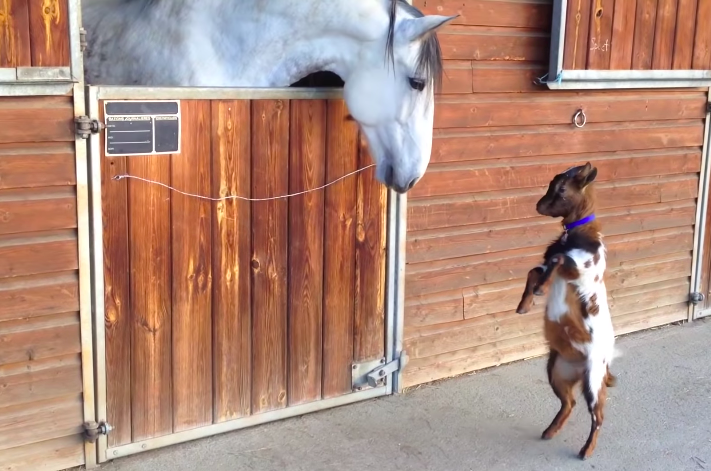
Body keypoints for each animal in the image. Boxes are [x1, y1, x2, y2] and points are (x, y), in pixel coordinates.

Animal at [516, 162, 616, 460]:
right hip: (556, 371)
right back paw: (550, 432)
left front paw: (539, 291)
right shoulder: (548, 262)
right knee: (569, 402)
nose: (539, 206)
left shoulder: (581, 269)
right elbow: (535, 269)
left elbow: (558, 260)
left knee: (598, 416)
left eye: (561, 188)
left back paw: (586, 451)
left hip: (594, 378)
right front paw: (525, 304)